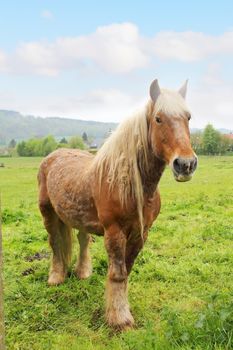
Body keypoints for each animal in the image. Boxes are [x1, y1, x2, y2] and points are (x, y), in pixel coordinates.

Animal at [37, 79, 197, 330]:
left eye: (188, 117)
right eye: (158, 118)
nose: (186, 164)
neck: (129, 184)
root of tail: (53, 155)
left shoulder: (141, 233)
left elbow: (126, 271)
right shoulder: (114, 232)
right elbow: (118, 273)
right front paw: (119, 319)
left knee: (82, 240)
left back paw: (83, 272)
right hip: (47, 212)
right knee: (55, 243)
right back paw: (56, 277)